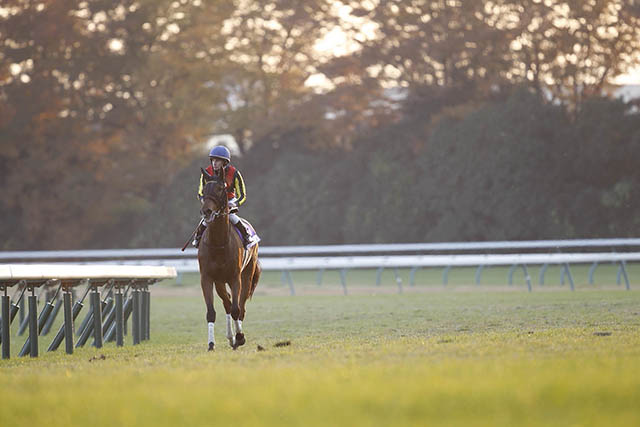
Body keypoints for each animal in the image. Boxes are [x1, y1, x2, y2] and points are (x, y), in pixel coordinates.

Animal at [197, 169, 261, 351]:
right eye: (204, 190)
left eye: (220, 189)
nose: (207, 212)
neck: (218, 243)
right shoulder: (207, 278)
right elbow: (212, 312)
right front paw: (211, 344)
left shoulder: (234, 277)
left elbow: (236, 309)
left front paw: (240, 337)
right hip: (220, 281)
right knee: (227, 302)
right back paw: (230, 337)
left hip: (247, 275)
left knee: (241, 306)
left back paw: (237, 337)